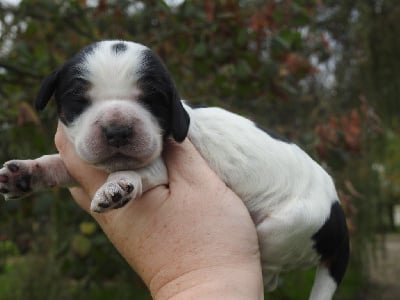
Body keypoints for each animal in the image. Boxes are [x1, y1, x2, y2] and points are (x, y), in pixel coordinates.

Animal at [0, 40, 348, 300]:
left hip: (283, 229)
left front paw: (118, 185)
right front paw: (27, 173)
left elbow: (137, 171)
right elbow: (58, 165)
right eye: (78, 99)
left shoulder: (159, 168)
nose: (117, 131)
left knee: (271, 272)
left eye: (151, 99)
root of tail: (339, 220)